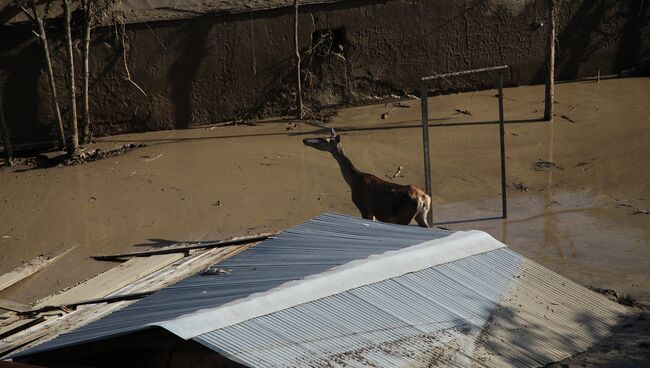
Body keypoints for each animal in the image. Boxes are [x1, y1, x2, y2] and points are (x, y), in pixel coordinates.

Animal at [302, 129, 430, 227]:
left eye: (325, 140)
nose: (304, 140)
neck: (353, 180)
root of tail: (424, 199)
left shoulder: (363, 206)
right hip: (421, 215)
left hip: (404, 216)